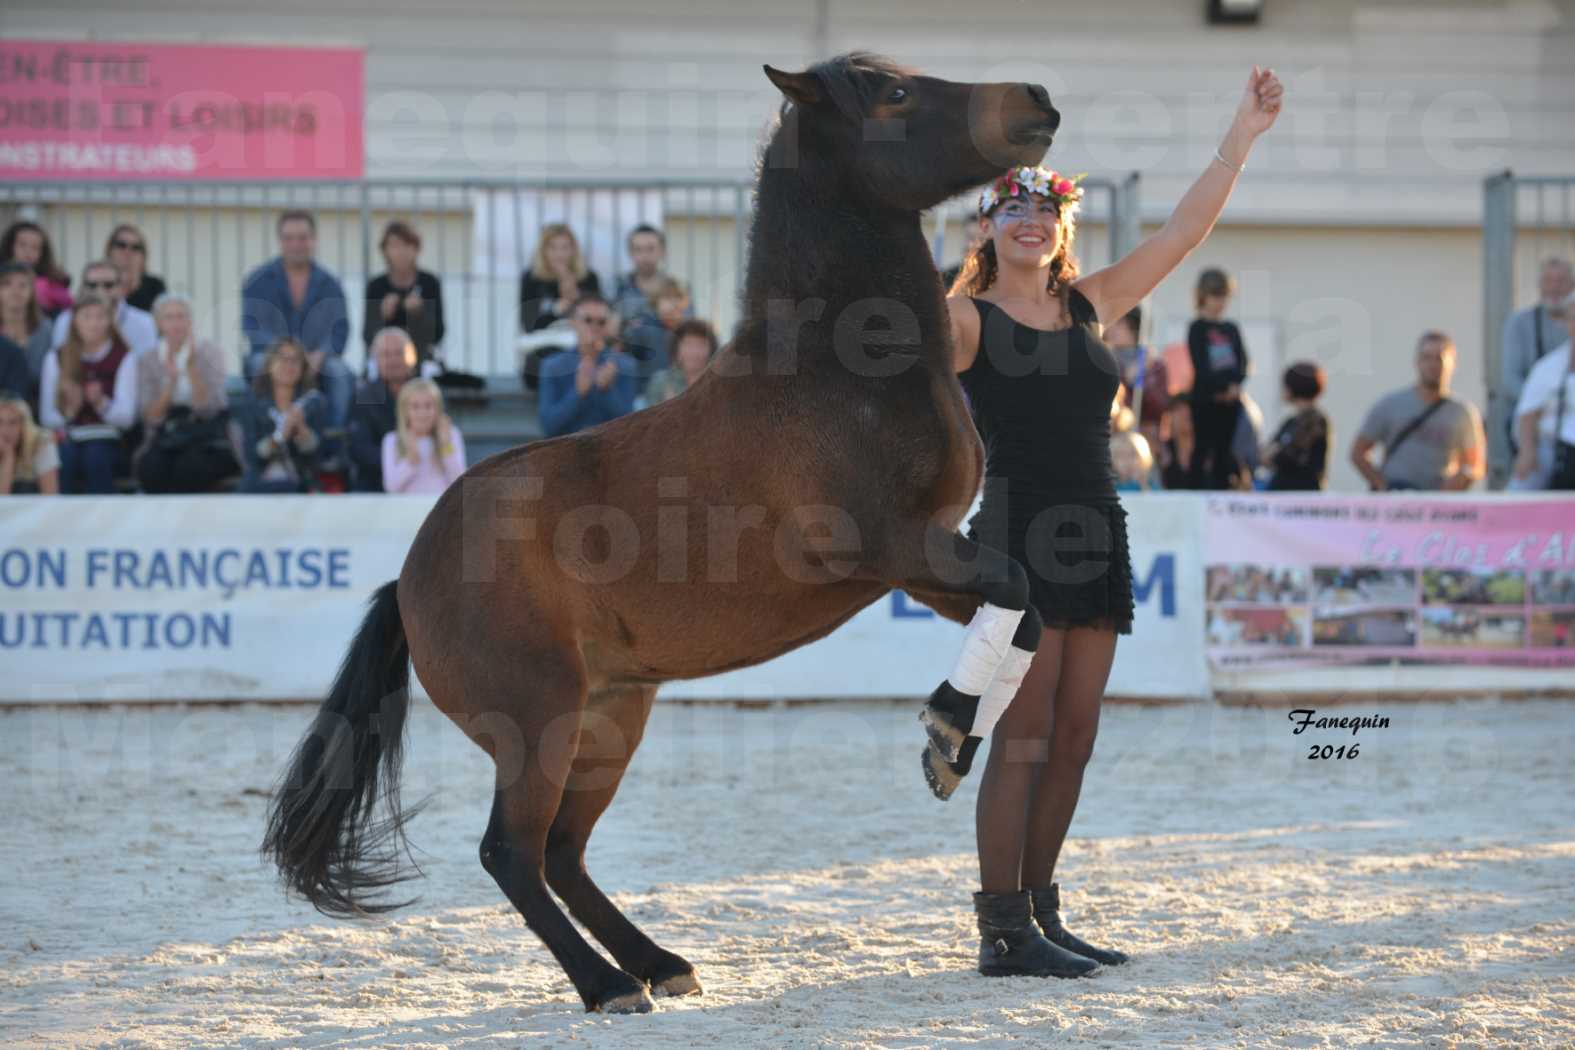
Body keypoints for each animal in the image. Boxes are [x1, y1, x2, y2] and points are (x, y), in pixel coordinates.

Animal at [264, 53, 1058, 1013]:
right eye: (896, 95)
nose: (1036, 101)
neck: (835, 374)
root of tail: (408, 580)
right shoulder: (895, 545)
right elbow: (1016, 587)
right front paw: (945, 738)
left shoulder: (924, 566)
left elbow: (1024, 612)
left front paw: (956, 736)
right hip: (538, 723)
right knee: (511, 853)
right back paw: (607, 985)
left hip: (610, 718)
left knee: (563, 853)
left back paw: (657, 963)